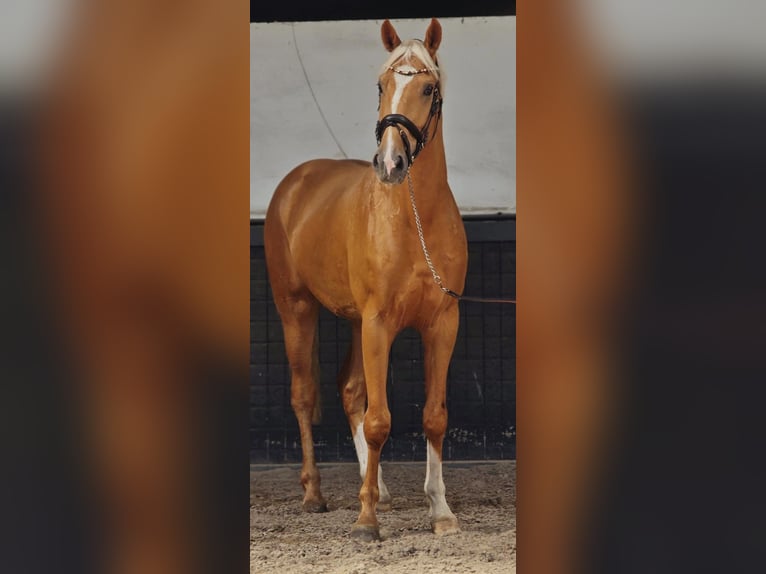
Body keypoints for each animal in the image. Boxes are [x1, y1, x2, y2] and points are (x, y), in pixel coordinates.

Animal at [264, 18, 467, 541]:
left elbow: (434, 417)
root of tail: (296, 181)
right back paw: (314, 495)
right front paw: (365, 520)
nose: (390, 163)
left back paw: (376, 488)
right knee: (304, 395)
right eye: (381, 85)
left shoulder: (442, 323)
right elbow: (379, 421)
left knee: (351, 389)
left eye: (428, 87)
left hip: (355, 322)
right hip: (296, 309)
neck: (414, 219)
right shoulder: (379, 323)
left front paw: (439, 510)